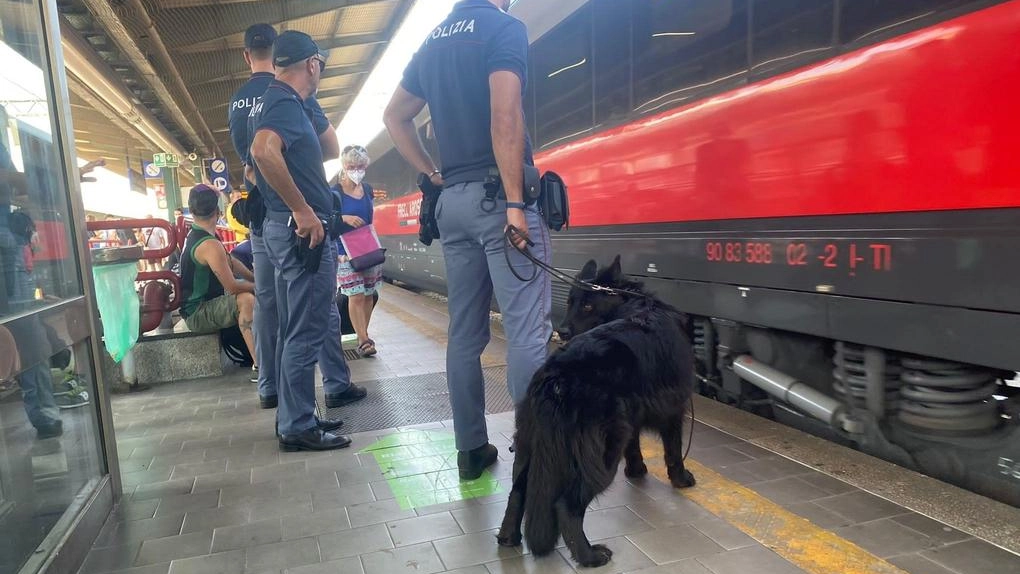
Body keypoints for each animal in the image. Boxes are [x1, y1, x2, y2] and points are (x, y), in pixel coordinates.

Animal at [497, 256, 697, 570]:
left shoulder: (633, 418)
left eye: (587, 305)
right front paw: (681, 479)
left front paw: (636, 470)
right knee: (567, 505)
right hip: (600, 454)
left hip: (530, 443)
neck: (635, 304)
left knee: (517, 491)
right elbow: (674, 450)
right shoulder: (673, 410)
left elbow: (634, 445)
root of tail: (555, 378)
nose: (563, 331)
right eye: (571, 302)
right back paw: (589, 556)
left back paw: (508, 537)